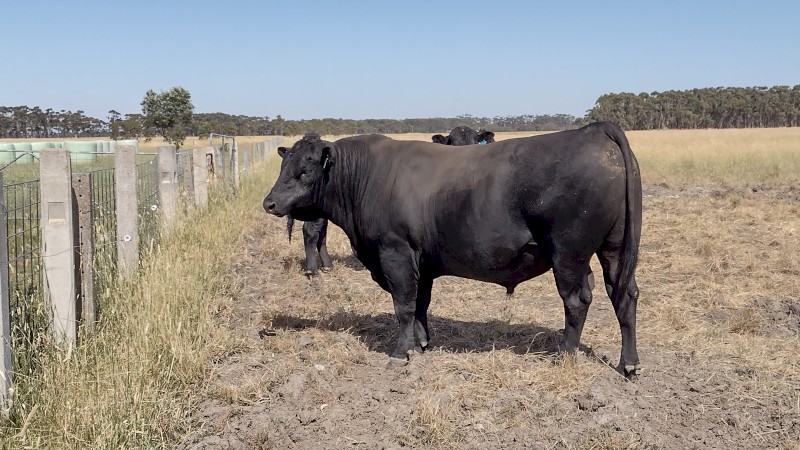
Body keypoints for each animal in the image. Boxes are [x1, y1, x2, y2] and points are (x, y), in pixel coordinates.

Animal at [264, 122, 642, 377]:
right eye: (284, 166)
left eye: (305, 171)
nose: (269, 203)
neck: (367, 177)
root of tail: (593, 130)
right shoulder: (422, 261)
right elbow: (420, 304)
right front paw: (421, 344)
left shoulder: (395, 253)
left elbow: (403, 305)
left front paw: (400, 353)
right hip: (614, 250)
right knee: (623, 295)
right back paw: (629, 364)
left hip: (568, 252)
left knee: (577, 300)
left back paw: (564, 355)